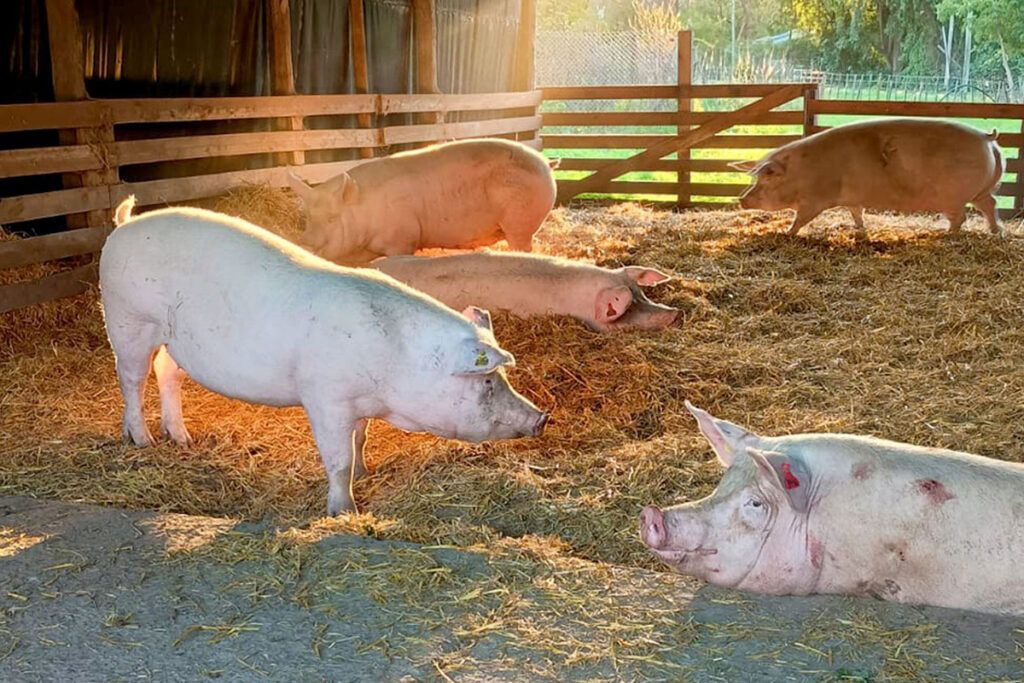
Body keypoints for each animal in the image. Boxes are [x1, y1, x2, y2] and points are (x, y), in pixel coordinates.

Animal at [100, 197, 548, 516]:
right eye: (486, 380)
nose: (542, 417)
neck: (397, 363)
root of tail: (124, 224)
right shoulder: (326, 398)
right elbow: (338, 459)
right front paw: (344, 512)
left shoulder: (360, 402)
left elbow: (360, 438)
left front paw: (367, 471)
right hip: (128, 319)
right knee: (131, 377)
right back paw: (142, 440)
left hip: (175, 339)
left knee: (166, 372)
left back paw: (182, 438)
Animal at [286, 138, 557, 265]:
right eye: (307, 217)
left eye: (332, 218)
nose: (305, 243)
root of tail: (546, 164)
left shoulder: (403, 239)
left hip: (520, 223)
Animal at [731, 119, 1005, 237]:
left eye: (766, 179)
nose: (741, 199)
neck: (801, 172)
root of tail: (986, 138)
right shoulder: (853, 198)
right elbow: (857, 213)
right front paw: (860, 230)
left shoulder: (814, 200)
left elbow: (801, 219)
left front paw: (786, 233)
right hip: (981, 191)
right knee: (990, 204)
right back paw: (995, 232)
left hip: (954, 197)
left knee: (962, 217)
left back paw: (946, 234)